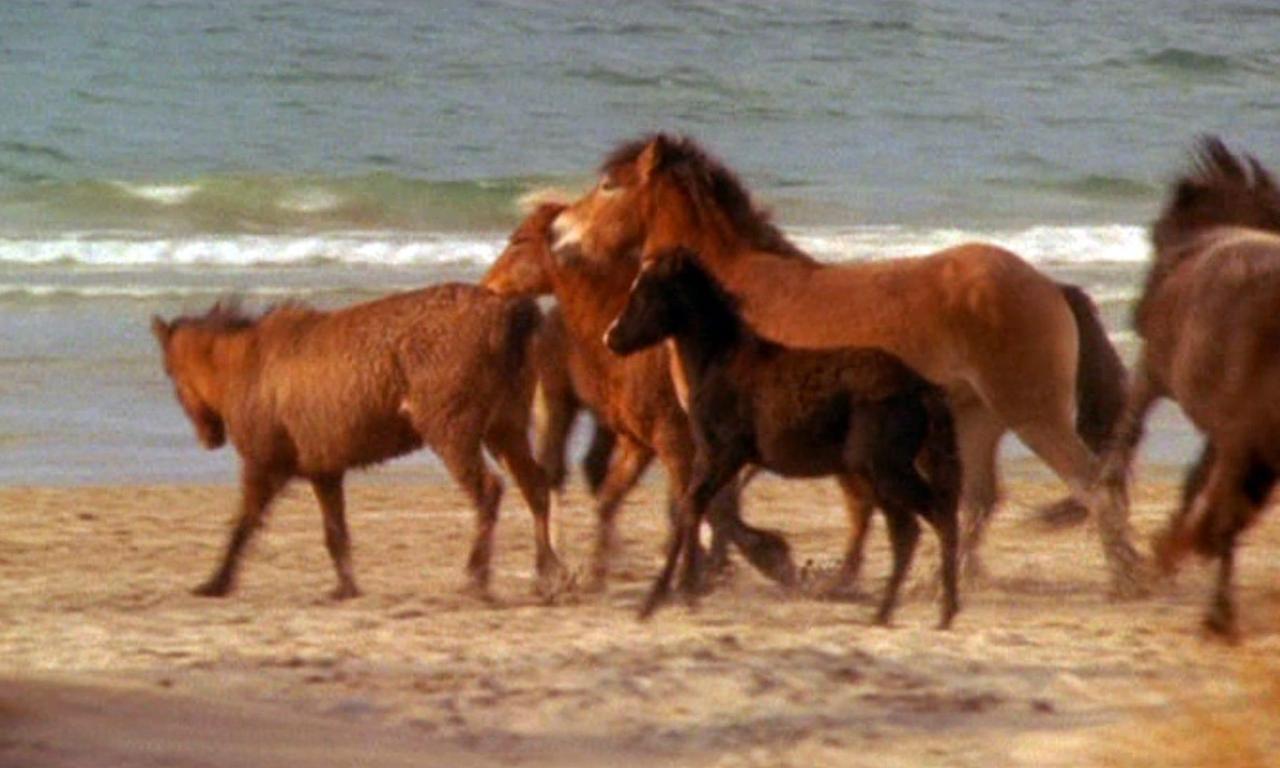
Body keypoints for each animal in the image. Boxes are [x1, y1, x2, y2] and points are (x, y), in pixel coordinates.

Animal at [151, 285, 567, 601]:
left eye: (170, 371)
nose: (209, 437)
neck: (248, 362)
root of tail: (507, 312)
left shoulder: (263, 465)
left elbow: (243, 523)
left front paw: (215, 583)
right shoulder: (324, 471)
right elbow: (335, 532)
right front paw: (345, 587)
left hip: (453, 434)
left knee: (489, 491)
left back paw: (477, 578)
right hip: (505, 430)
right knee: (535, 487)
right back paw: (548, 575)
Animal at [483, 200, 798, 590]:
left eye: (520, 240)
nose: (488, 286)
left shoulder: (664, 442)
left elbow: (683, 504)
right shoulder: (649, 442)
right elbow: (656, 501)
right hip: (561, 407)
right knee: (556, 473)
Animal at [606, 247, 961, 627]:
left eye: (647, 292)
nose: (611, 338)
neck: (720, 363)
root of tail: (920, 385)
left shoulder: (723, 455)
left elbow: (691, 508)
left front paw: (659, 599)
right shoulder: (710, 457)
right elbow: (692, 508)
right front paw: (683, 594)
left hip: (886, 469)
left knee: (936, 518)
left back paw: (943, 612)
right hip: (878, 473)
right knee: (907, 531)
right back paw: (886, 613)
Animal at [1094, 137, 1280, 640]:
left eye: (1155, 233)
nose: (1136, 314)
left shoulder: (1151, 375)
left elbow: (1123, 457)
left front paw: (1136, 561)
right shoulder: (1226, 430)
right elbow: (1193, 484)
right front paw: (1157, 554)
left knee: (1229, 511)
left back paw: (1218, 613)